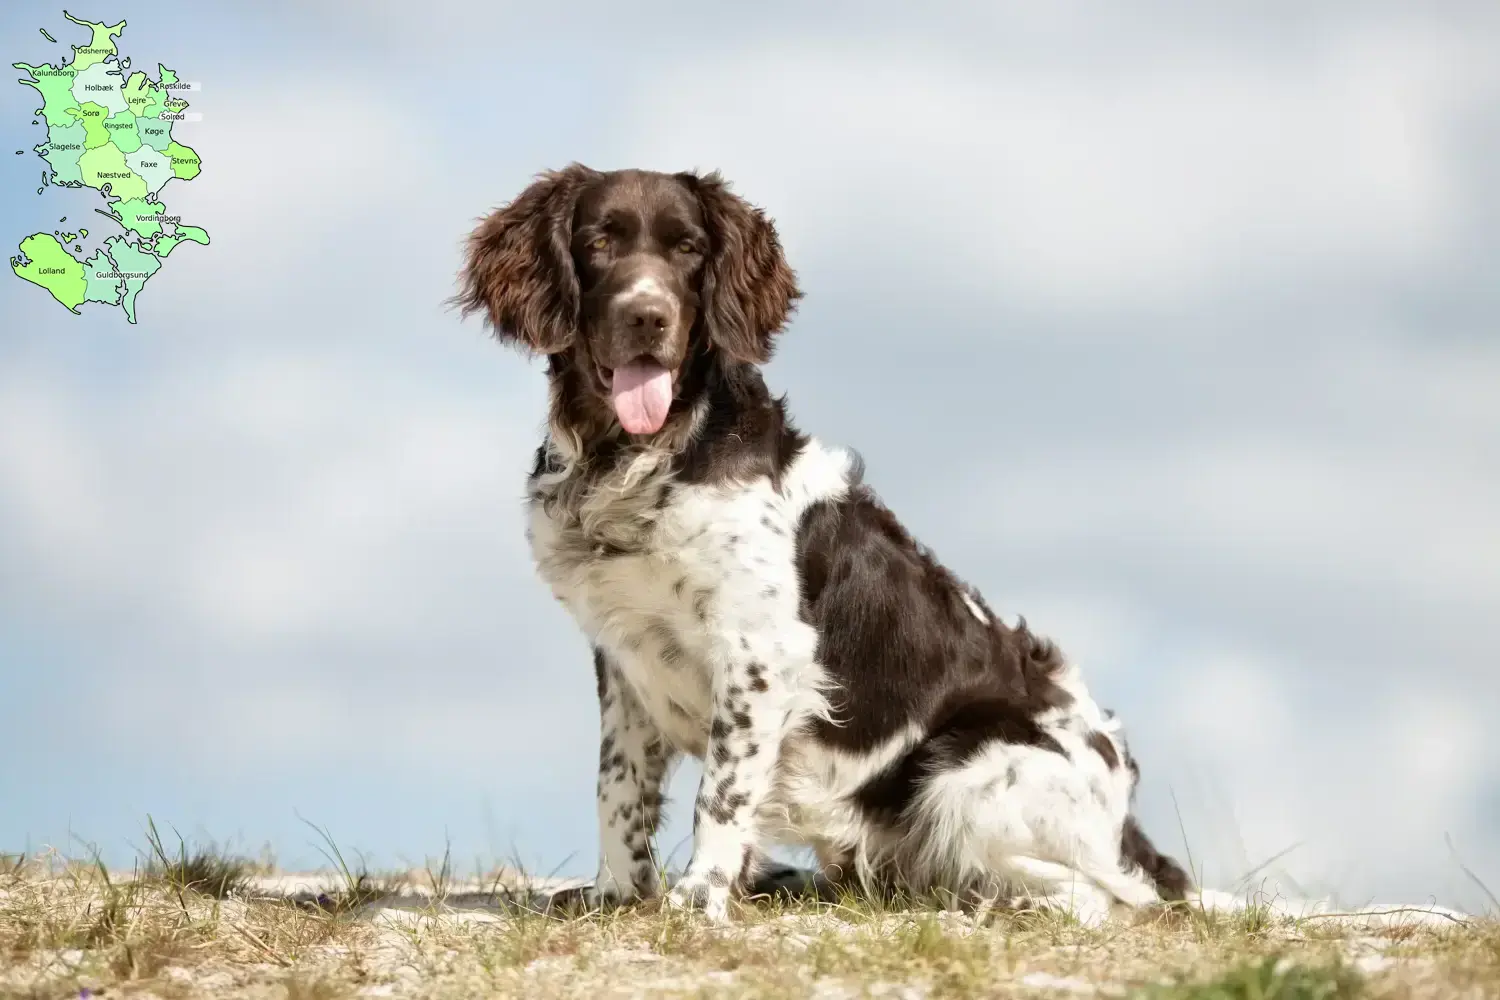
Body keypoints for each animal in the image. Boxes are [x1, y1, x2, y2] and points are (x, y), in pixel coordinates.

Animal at [456, 162, 1194, 923]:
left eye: (689, 249)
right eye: (599, 243)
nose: (648, 317)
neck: (639, 458)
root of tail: (1126, 825)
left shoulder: (758, 652)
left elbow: (720, 793)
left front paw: (701, 895)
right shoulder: (623, 653)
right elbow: (618, 786)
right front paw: (618, 894)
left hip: (968, 766)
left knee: (1100, 897)